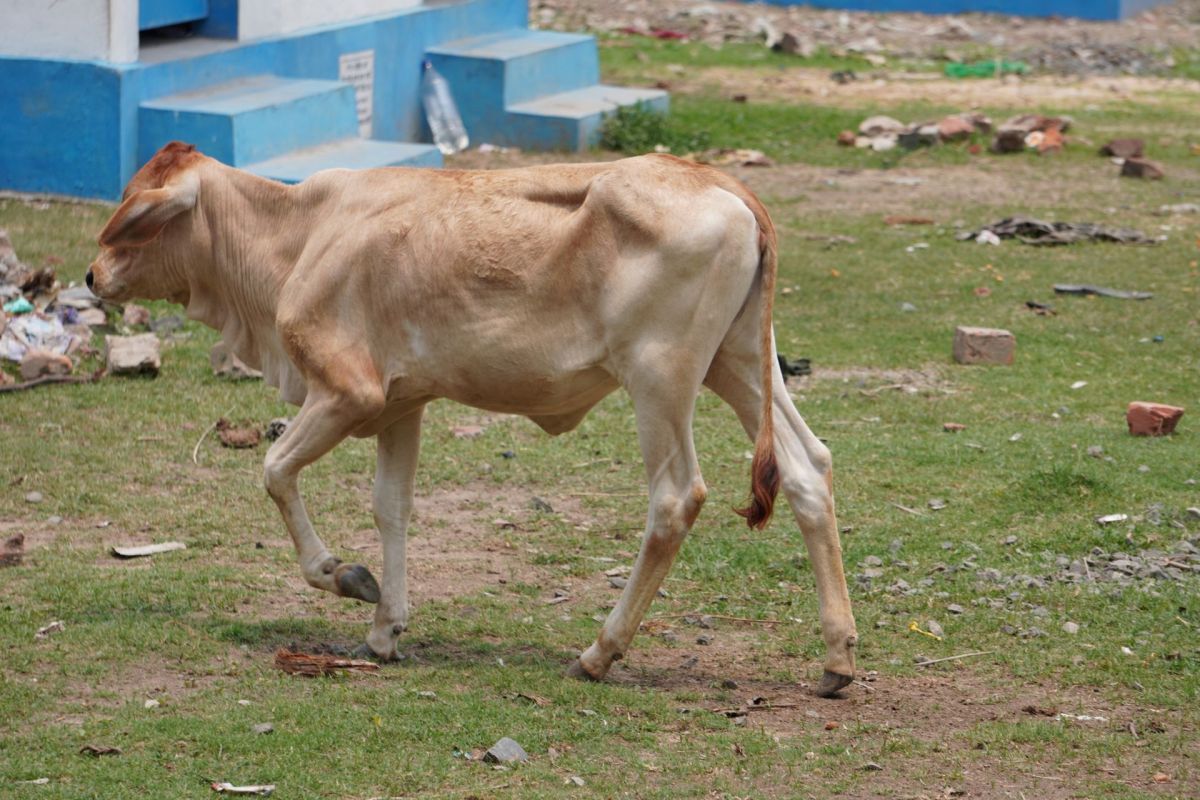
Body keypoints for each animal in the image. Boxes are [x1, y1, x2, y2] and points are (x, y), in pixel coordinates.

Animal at [88, 142, 858, 696]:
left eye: (134, 210)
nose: (92, 277)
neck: (298, 235)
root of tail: (724, 185)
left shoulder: (349, 394)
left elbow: (275, 472)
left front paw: (343, 576)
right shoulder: (401, 403)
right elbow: (391, 508)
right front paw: (384, 629)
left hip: (660, 378)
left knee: (675, 500)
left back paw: (599, 653)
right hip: (739, 362)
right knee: (808, 469)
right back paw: (837, 660)